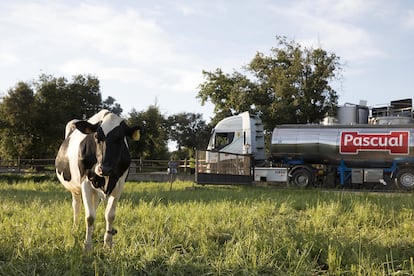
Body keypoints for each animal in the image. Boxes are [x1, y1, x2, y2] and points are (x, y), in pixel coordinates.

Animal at [55, 110, 142, 250]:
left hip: (95, 192)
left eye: (120, 138)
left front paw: (108, 244)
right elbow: (90, 217)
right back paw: (75, 229)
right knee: (77, 207)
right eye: (96, 137)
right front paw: (87, 246)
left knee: (93, 206)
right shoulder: (85, 182)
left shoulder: (119, 184)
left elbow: (110, 215)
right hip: (75, 189)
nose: (104, 168)